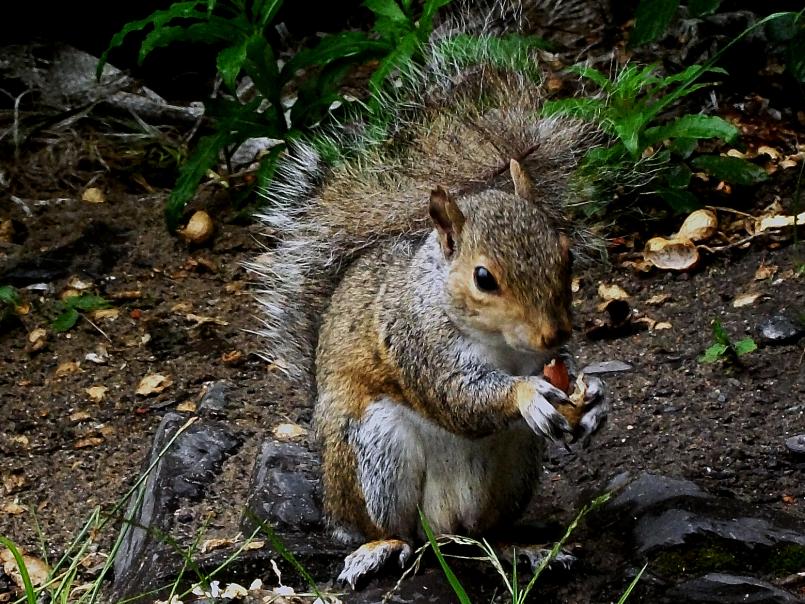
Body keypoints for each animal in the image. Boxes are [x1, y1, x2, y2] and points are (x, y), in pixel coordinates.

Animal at [248, 0, 608, 584]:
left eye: (566, 255)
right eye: (484, 278)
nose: (555, 335)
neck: (499, 344)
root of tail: (445, 526)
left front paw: (593, 396)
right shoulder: (413, 338)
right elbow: (456, 394)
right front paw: (527, 395)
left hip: (516, 462)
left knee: (484, 531)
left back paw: (520, 549)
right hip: (372, 451)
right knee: (393, 527)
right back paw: (380, 547)